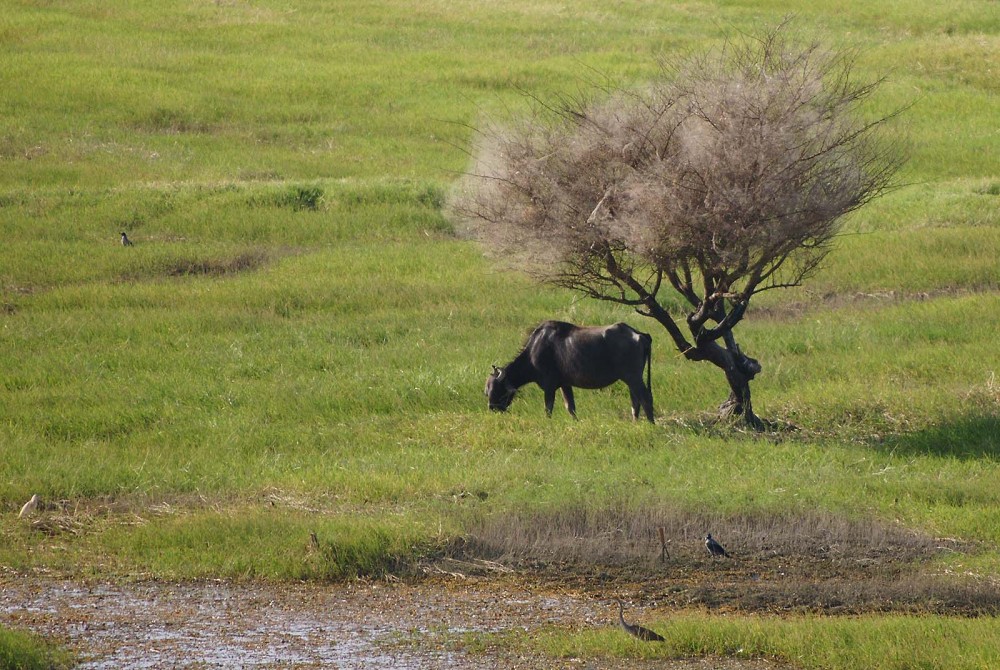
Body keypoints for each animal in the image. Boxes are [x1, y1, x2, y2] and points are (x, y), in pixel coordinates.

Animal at [486, 322, 656, 426]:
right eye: (486, 391)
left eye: (497, 390)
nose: (492, 408)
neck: (533, 352)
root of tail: (640, 335)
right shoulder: (565, 385)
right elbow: (570, 407)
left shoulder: (549, 387)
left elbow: (548, 409)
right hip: (631, 380)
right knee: (635, 401)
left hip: (633, 378)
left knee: (645, 398)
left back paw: (651, 423)